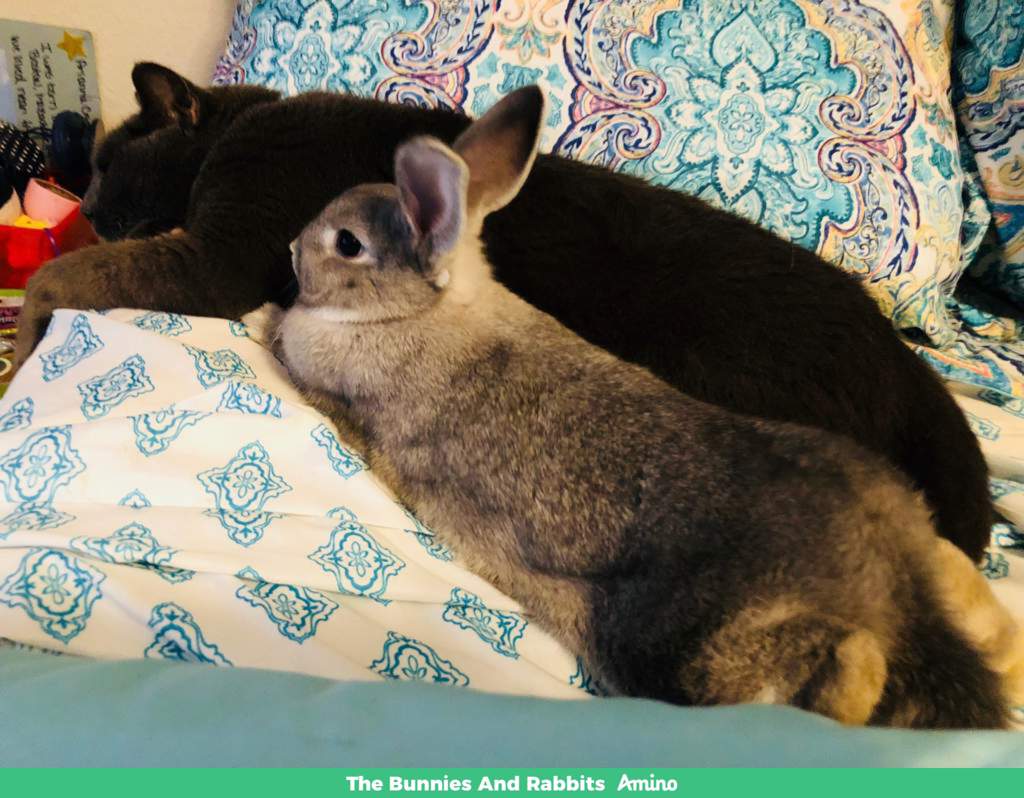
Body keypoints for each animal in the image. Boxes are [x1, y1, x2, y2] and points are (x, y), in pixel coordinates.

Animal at [245, 87, 1024, 728]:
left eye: (347, 244)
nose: (288, 248)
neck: (424, 308)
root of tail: (880, 589)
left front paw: (264, 317)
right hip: (899, 519)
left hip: (680, 646)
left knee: (834, 675)